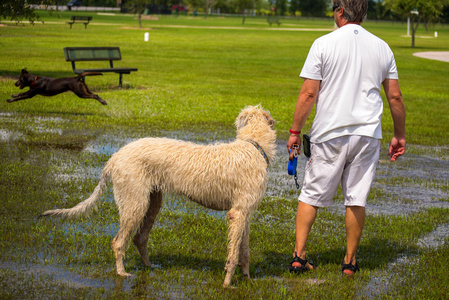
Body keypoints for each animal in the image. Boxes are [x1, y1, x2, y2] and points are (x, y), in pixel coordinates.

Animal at [39, 104, 276, 288]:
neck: (253, 146)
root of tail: (115, 157)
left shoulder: (245, 213)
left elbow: (244, 249)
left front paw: (247, 276)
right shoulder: (238, 213)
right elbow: (233, 253)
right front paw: (227, 283)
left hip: (152, 201)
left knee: (139, 238)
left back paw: (149, 266)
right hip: (134, 202)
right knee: (118, 242)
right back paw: (121, 272)